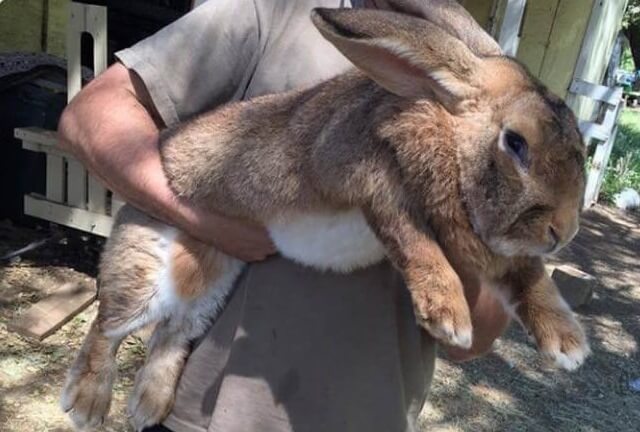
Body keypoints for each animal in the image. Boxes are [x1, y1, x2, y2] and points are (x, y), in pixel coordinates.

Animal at [63, 4, 592, 432]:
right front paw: (448, 317)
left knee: (172, 335)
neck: (446, 134)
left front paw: (568, 345)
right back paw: (86, 405)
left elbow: (530, 275)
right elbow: (411, 237)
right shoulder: (367, 177)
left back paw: (148, 406)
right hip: (146, 266)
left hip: (211, 285)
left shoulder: (501, 250)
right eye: (516, 143)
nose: (563, 232)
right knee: (108, 326)